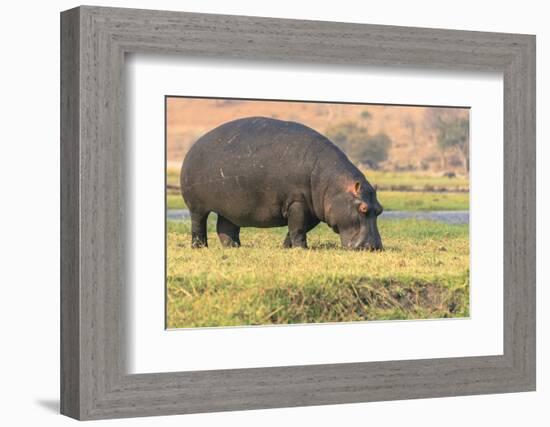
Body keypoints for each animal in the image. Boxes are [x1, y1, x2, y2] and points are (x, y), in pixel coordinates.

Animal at [181, 117, 384, 251]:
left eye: (380, 210)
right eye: (363, 208)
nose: (374, 247)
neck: (334, 185)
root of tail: (194, 145)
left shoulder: (313, 210)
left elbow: (297, 228)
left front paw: (287, 247)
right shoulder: (297, 202)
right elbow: (298, 227)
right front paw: (302, 249)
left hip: (230, 207)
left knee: (226, 227)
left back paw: (234, 247)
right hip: (196, 206)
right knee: (198, 225)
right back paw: (200, 247)